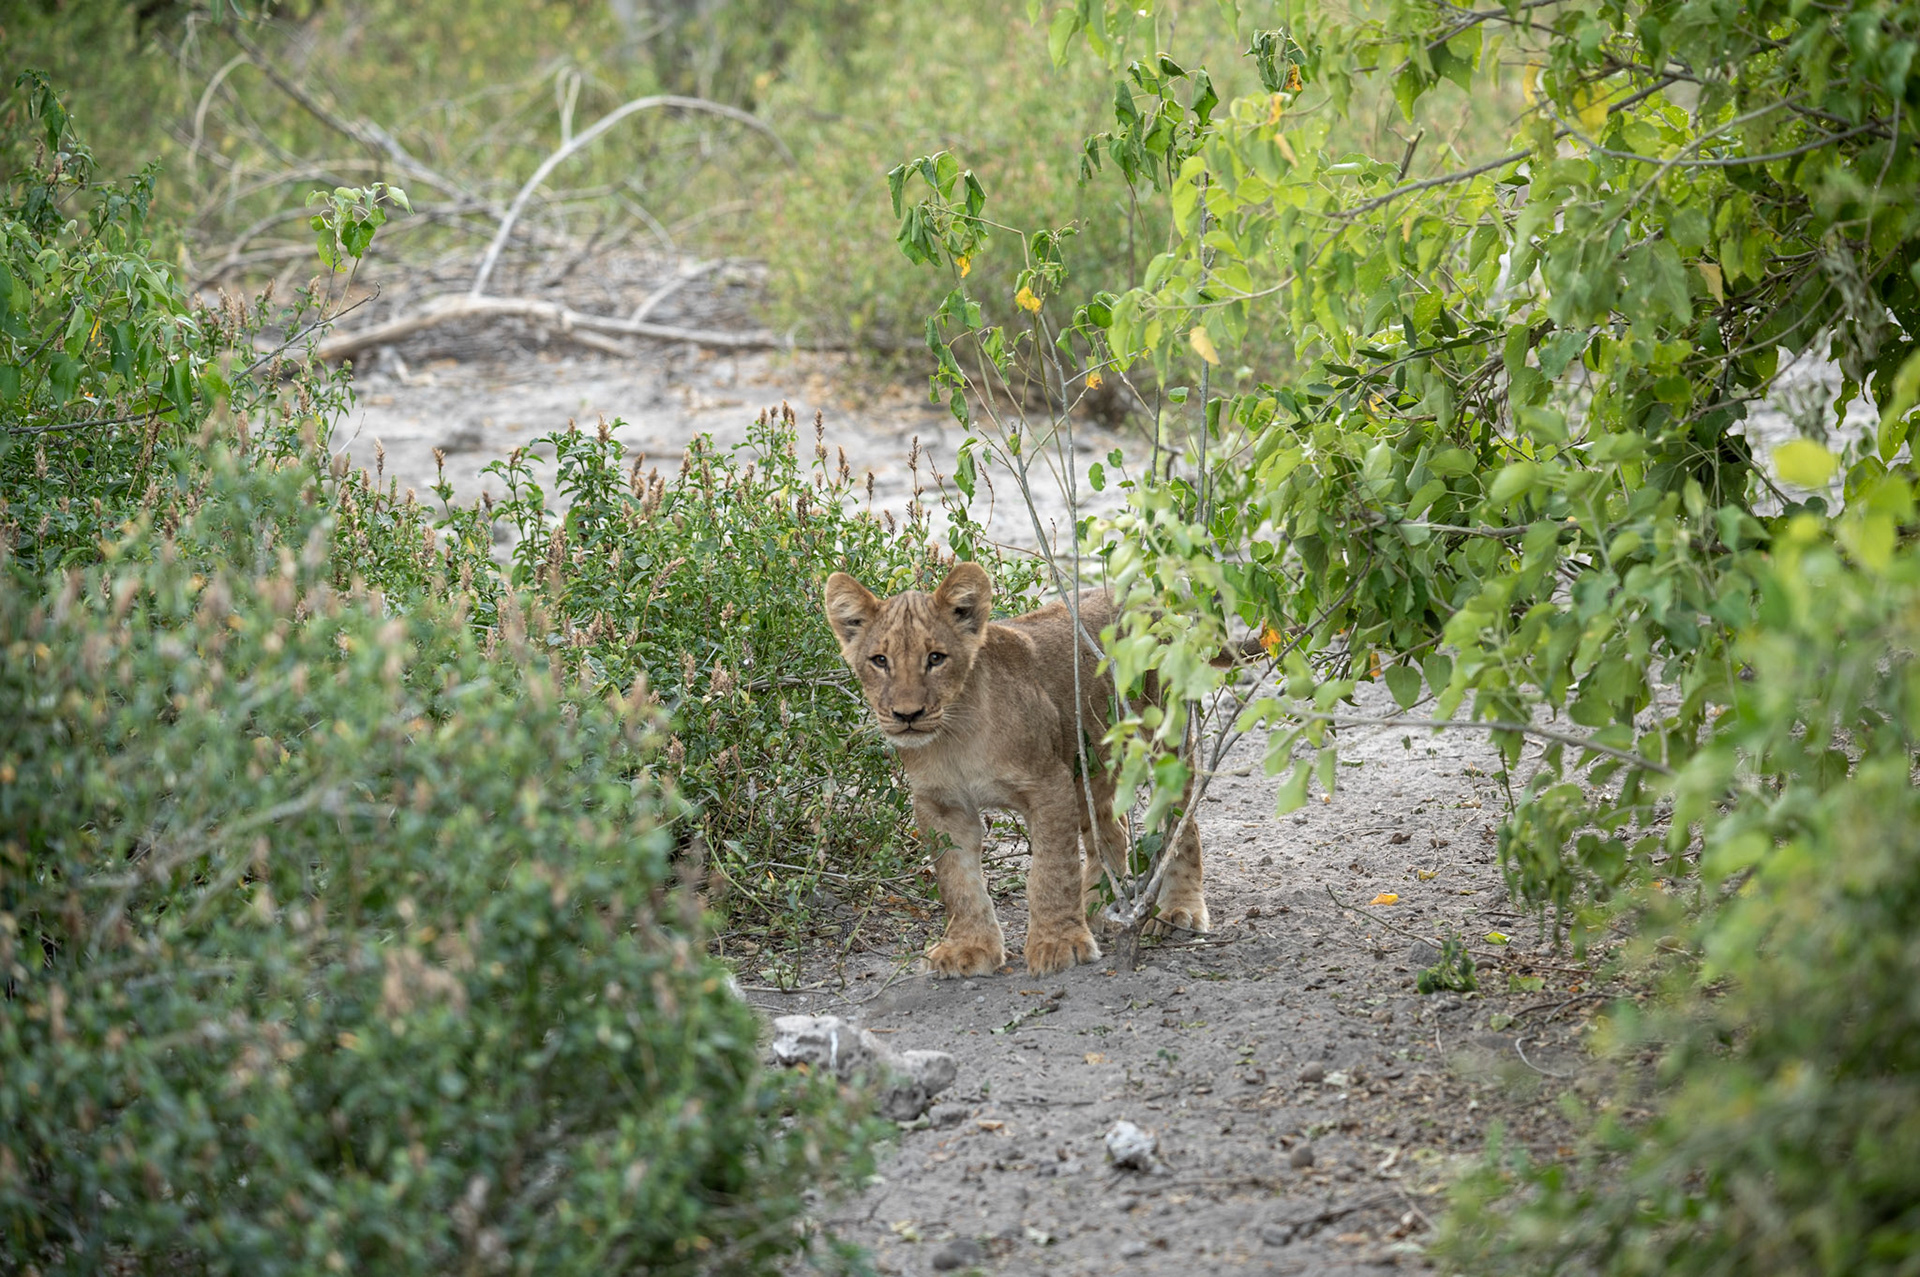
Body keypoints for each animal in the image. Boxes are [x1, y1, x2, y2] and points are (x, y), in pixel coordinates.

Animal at [822, 561, 1208, 977]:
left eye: (936, 658)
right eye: (880, 660)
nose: (907, 715)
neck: (954, 736)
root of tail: (1148, 597)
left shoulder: (1048, 784)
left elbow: (1051, 871)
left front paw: (1059, 943)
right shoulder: (940, 803)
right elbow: (958, 882)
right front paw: (968, 948)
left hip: (1164, 737)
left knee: (1182, 822)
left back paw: (1179, 909)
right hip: (1087, 769)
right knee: (1112, 832)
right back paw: (1093, 909)